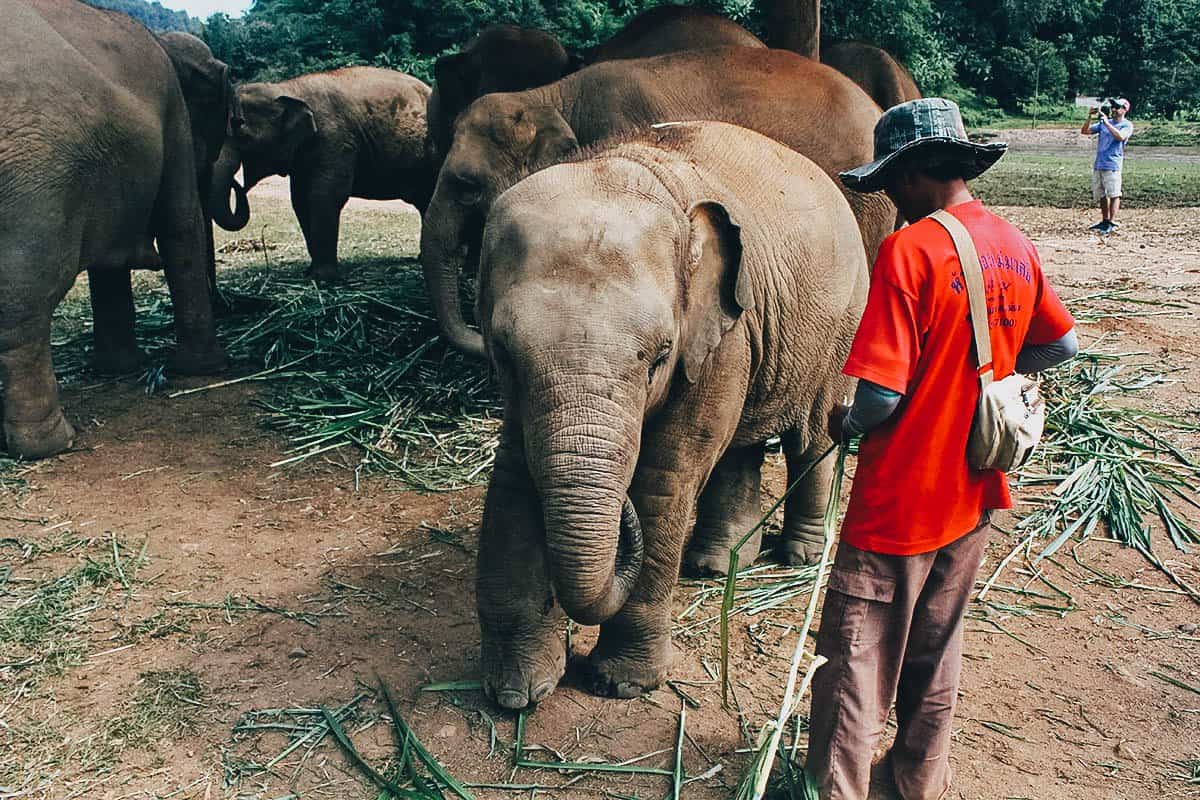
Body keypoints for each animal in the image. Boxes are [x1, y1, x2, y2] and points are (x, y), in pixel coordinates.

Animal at [1, 0, 226, 460]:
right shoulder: (173, 109)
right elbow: (181, 223)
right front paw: (203, 369)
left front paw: (118, 367)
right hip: (33, 174)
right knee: (23, 297)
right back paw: (51, 443)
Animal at [211, 67, 436, 283]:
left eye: (240, 131)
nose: (238, 184)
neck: (286, 88)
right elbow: (300, 201)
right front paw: (309, 273)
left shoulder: (334, 141)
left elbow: (324, 196)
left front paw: (322, 279)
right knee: (425, 201)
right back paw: (421, 258)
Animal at [472, 118, 868, 705]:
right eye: (501, 352)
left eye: (659, 356)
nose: (620, 522)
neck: (621, 164)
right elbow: (515, 475)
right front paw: (516, 692)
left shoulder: (723, 333)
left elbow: (666, 477)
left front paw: (621, 684)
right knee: (741, 445)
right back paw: (711, 564)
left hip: (843, 327)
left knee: (814, 439)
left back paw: (798, 556)